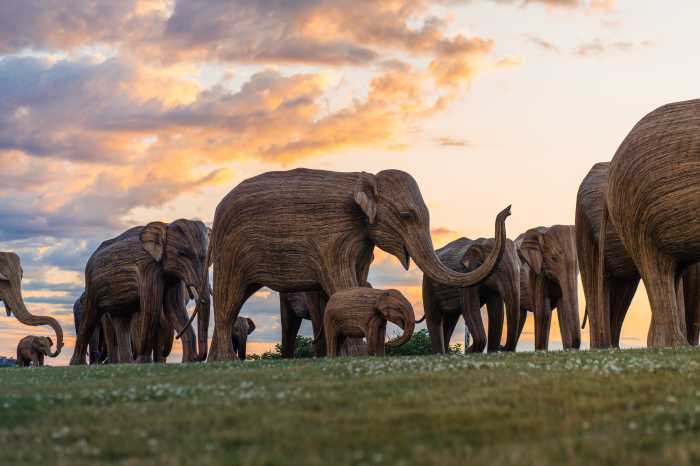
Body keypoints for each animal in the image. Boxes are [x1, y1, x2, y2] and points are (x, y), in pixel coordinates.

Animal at [70, 220, 210, 365]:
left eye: (206, 256)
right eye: (182, 253)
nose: (199, 358)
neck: (165, 226)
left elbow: (175, 308)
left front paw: (188, 361)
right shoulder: (147, 268)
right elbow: (152, 307)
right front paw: (143, 362)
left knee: (121, 320)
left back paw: (126, 363)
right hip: (92, 285)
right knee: (90, 318)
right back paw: (77, 363)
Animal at [208, 168, 510, 361]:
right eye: (406, 215)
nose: (507, 209)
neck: (365, 180)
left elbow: (358, 278)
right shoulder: (333, 238)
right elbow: (342, 281)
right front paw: (357, 354)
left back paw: (216, 361)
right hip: (230, 251)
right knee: (228, 300)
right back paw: (226, 361)